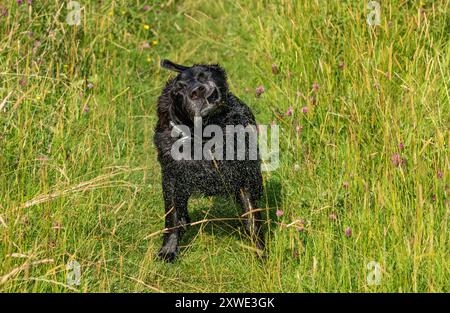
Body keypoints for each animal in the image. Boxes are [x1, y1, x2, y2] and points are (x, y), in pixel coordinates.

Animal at [154, 59, 264, 260]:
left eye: (202, 75)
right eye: (179, 91)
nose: (197, 91)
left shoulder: (242, 175)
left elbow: (252, 218)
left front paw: (260, 252)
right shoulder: (172, 176)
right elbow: (172, 216)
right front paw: (168, 250)